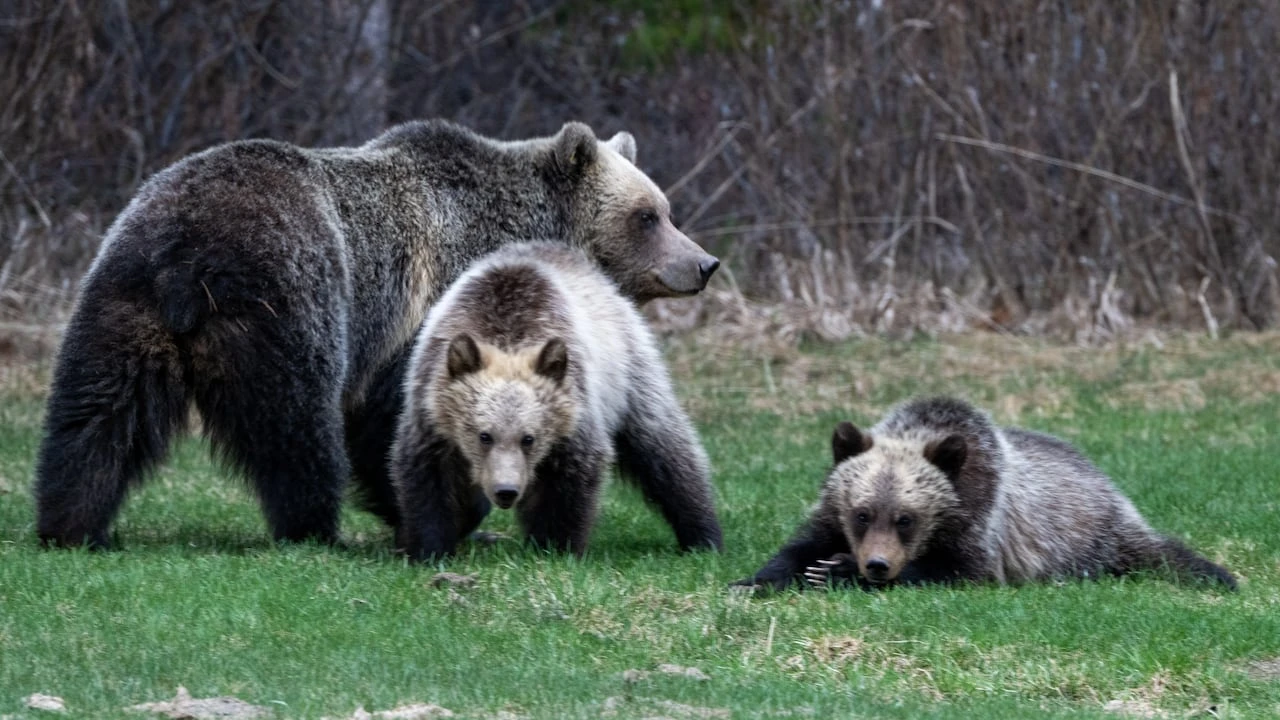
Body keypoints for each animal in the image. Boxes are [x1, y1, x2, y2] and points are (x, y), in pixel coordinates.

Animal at [391, 241, 721, 560]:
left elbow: (571, 479)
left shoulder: (574, 412)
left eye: (529, 438)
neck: (506, 336)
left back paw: (703, 534)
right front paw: (429, 547)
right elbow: (428, 477)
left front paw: (555, 546)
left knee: (664, 448)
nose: (506, 491)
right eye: (484, 435)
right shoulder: (431, 409)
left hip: (630, 371)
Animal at [734, 396, 1237, 591]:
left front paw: (835, 570)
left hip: (1091, 539)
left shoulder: (979, 519)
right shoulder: (831, 509)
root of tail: (1110, 486)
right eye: (862, 513)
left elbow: (961, 570)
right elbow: (800, 545)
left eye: (906, 518)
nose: (876, 565)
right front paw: (757, 580)